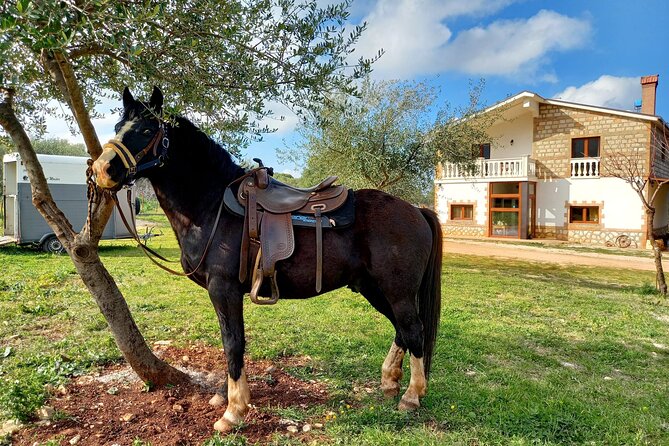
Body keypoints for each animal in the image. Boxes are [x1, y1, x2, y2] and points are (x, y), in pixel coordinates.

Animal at [90, 86, 444, 432]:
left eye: (147, 130)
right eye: (117, 127)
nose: (102, 169)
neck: (212, 206)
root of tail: (416, 210)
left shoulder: (224, 289)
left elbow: (233, 342)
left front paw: (233, 411)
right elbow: (230, 342)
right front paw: (227, 397)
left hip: (397, 290)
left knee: (413, 330)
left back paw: (411, 396)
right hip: (373, 288)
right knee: (402, 329)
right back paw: (390, 382)